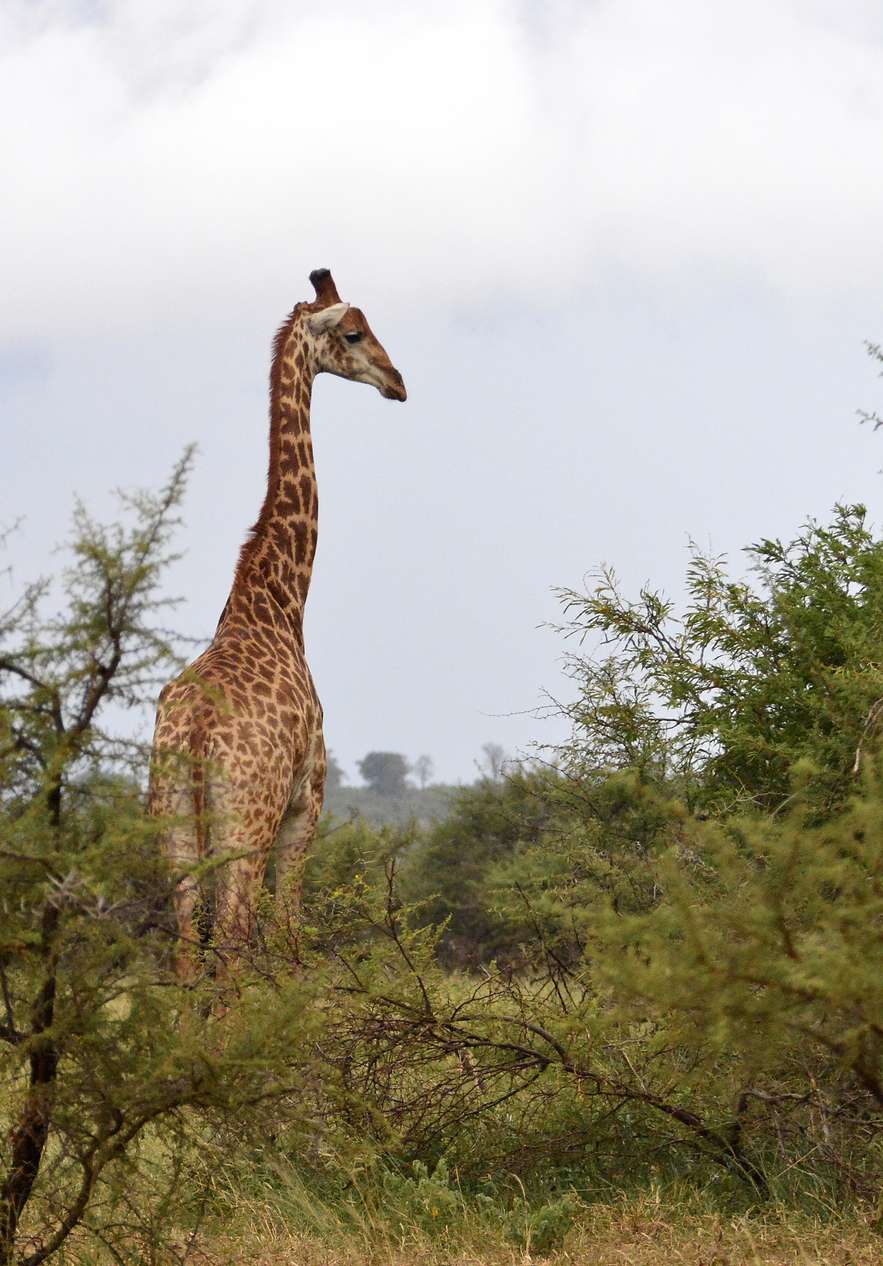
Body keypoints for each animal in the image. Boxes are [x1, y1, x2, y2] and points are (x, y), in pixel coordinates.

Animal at [149, 269, 406, 980]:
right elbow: (289, 937)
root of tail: (198, 735)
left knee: (188, 950)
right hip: (248, 826)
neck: (277, 604)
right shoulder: (306, 803)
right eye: (355, 332)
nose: (398, 380)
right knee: (235, 945)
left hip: (172, 828)